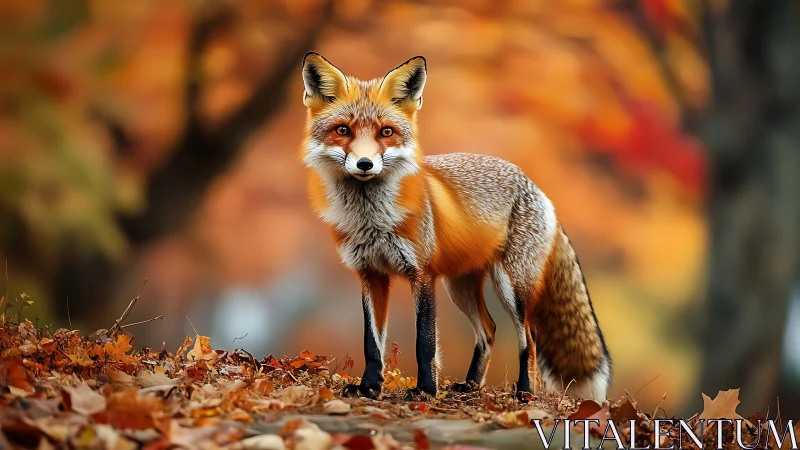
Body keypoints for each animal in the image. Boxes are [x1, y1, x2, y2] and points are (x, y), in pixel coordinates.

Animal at [300, 52, 611, 402]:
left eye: (386, 132)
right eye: (343, 130)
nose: (365, 164)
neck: (372, 221)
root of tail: (537, 187)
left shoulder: (422, 274)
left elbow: (425, 342)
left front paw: (425, 390)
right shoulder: (371, 275)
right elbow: (372, 344)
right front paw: (368, 387)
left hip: (512, 287)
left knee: (528, 339)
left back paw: (524, 392)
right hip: (460, 287)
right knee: (489, 330)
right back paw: (471, 385)